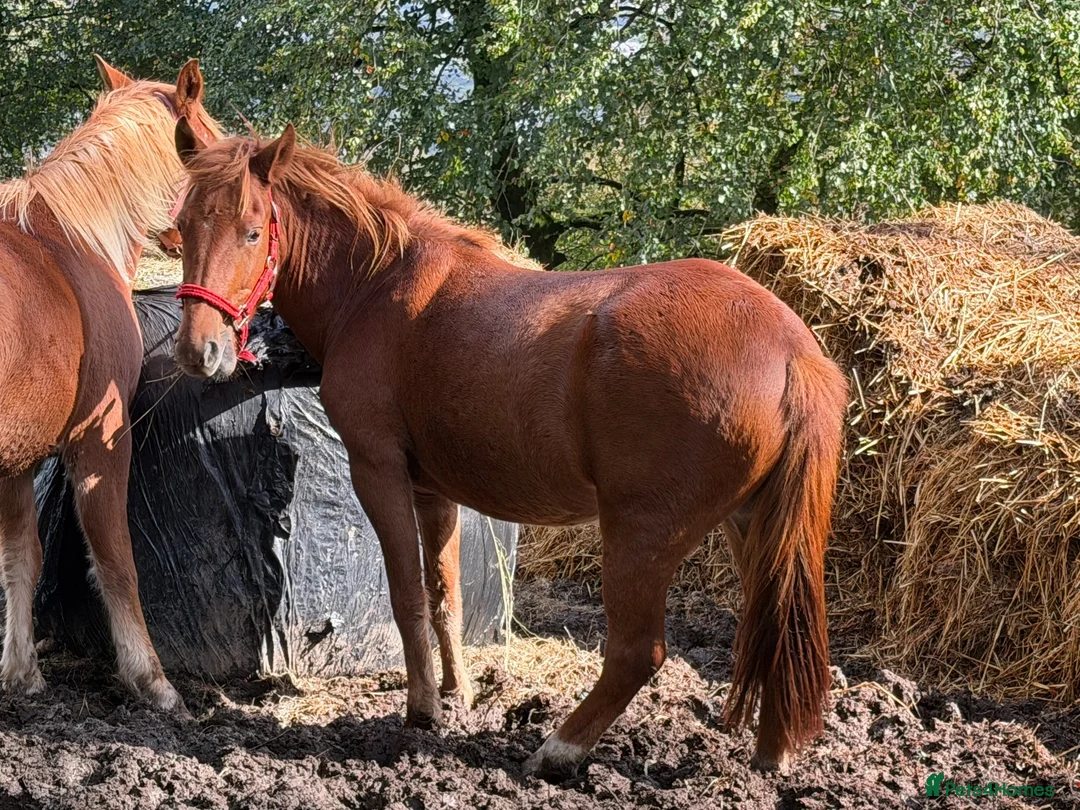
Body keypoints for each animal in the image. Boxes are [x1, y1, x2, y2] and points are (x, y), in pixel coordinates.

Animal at [0, 57, 221, 711]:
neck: (69, 247)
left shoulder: (19, 458)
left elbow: (22, 556)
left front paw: (21, 672)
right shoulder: (100, 441)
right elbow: (116, 559)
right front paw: (151, 679)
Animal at [170, 120, 848, 775]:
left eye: (251, 231)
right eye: (181, 228)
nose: (200, 351)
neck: (375, 285)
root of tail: (792, 348)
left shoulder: (377, 470)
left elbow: (406, 596)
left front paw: (423, 712)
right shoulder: (432, 490)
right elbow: (444, 595)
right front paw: (457, 692)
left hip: (642, 534)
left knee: (636, 654)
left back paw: (558, 750)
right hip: (750, 523)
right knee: (774, 627)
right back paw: (771, 751)